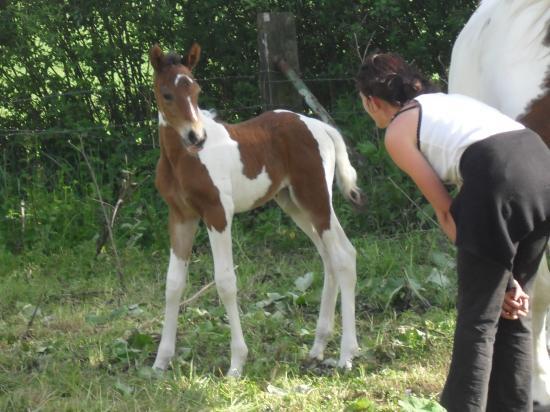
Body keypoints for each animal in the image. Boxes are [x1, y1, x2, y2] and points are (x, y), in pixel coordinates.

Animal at [149, 44, 362, 376]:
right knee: (331, 257)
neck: (182, 159)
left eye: (196, 90)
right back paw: (318, 347)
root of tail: (322, 127)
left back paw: (346, 355)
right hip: (293, 203)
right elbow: (173, 284)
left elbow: (225, 282)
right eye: (166, 93)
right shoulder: (181, 216)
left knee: (342, 256)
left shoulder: (217, 214)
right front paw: (161, 361)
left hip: (315, 197)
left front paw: (237, 363)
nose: (196, 137)